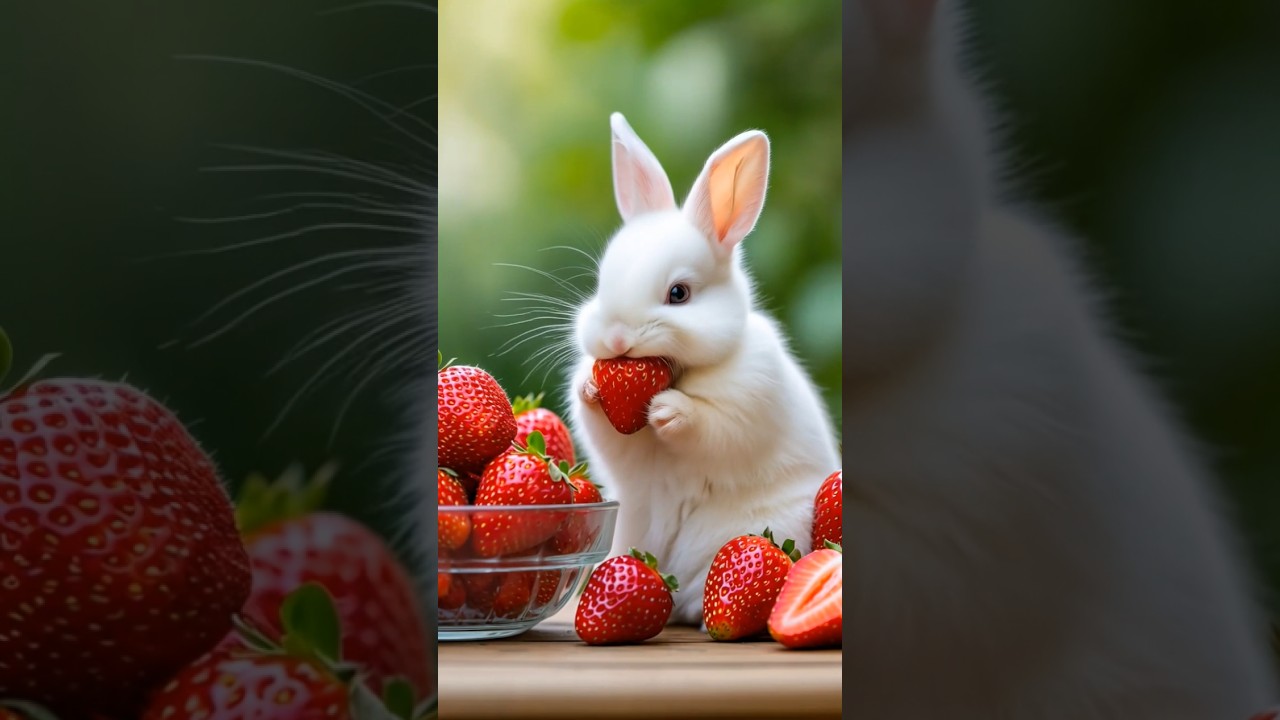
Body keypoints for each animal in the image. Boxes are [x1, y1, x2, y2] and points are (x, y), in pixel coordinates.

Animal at [565, 112, 842, 627]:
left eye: (679, 294)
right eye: (600, 284)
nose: (616, 339)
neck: (679, 373)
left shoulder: (748, 405)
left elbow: (711, 427)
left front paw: (669, 412)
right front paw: (591, 387)